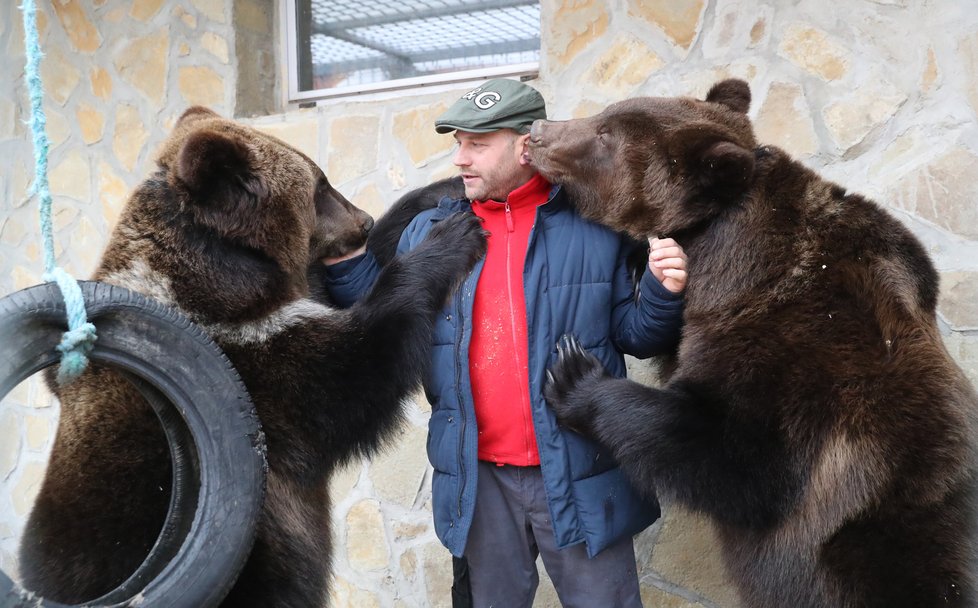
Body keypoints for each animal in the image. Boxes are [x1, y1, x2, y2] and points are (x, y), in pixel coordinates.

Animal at [13, 109, 486, 608]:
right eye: (319, 187)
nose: (364, 218)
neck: (227, 275)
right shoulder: (248, 358)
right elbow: (352, 371)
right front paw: (448, 239)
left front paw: (442, 192)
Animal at [528, 81, 976, 608]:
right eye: (606, 114)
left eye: (605, 134)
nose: (538, 130)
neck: (728, 253)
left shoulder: (792, 361)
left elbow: (731, 453)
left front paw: (573, 373)